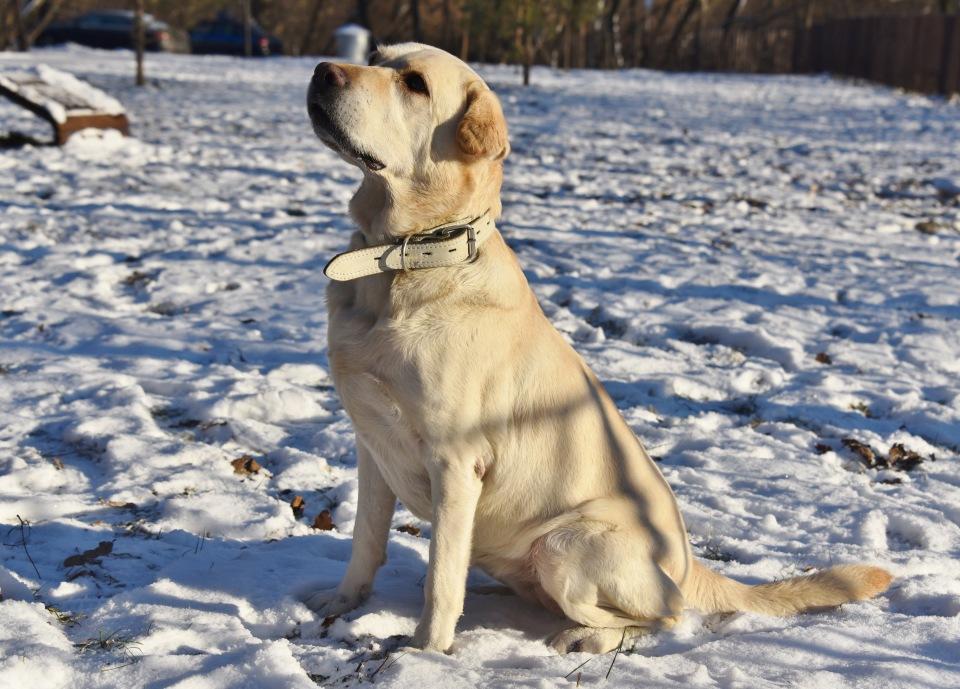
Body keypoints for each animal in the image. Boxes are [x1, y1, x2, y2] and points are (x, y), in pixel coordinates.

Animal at [302, 40, 892, 652]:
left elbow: (442, 576)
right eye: (376, 55)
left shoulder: (456, 460)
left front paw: (425, 652)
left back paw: (582, 637)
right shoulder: (372, 444)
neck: (403, 261)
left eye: (415, 84)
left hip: (566, 544)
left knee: (663, 615)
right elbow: (366, 538)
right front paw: (343, 603)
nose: (323, 71)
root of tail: (688, 565)